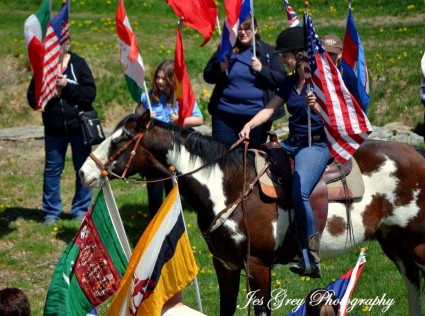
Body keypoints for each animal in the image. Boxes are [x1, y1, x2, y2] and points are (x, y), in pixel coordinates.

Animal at [78, 110, 424, 314]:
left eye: (120, 140)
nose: (83, 173)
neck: (228, 186)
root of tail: (416, 153)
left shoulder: (257, 266)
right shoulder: (226, 265)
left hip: (417, 242)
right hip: (394, 243)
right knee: (413, 283)